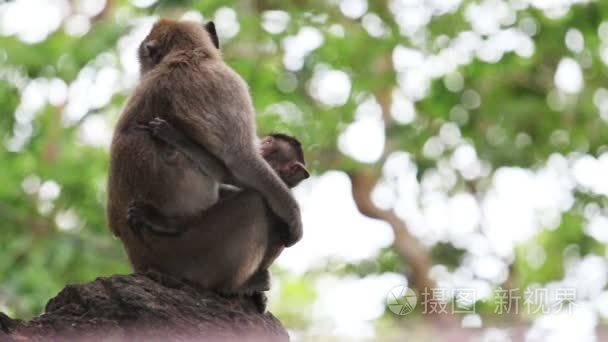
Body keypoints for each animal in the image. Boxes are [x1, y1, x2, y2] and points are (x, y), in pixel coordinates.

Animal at [108, 18, 304, 296]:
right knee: (255, 202)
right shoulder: (229, 82)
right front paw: (294, 216)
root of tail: (141, 261)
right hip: (194, 256)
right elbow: (240, 160)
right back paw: (239, 285)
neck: (188, 54)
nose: (142, 70)